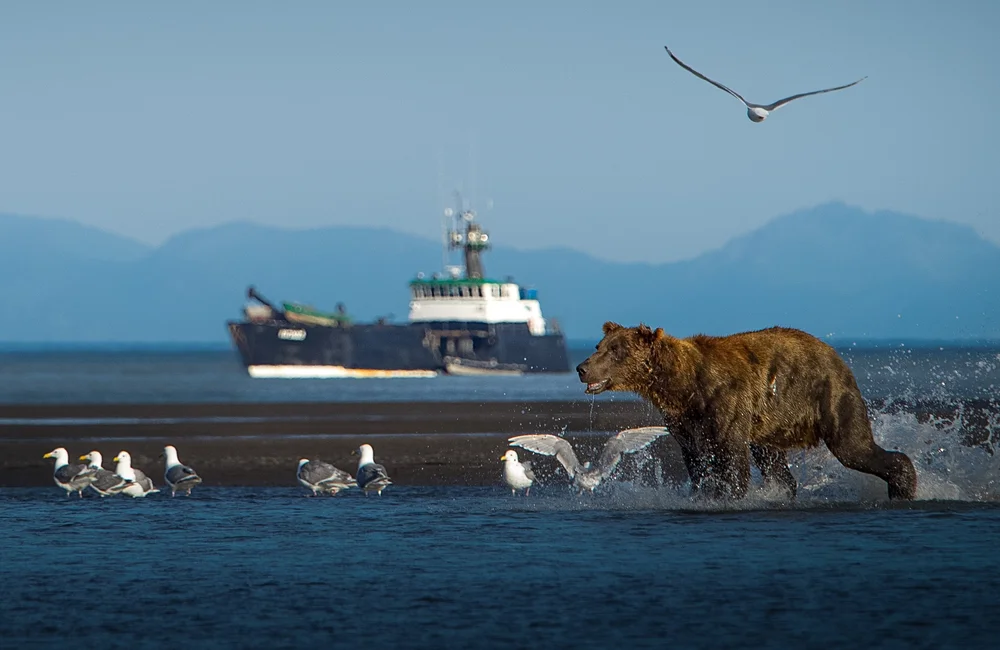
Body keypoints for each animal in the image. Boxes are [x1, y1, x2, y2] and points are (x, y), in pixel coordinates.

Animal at [576, 322, 918, 501]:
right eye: (598, 346)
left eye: (616, 350)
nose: (581, 368)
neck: (682, 386)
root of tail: (835, 353)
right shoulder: (685, 423)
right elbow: (697, 462)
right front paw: (702, 493)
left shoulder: (724, 402)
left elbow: (731, 458)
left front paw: (729, 493)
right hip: (774, 419)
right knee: (773, 460)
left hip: (829, 394)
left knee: (853, 446)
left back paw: (903, 486)